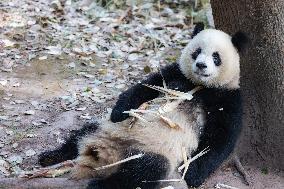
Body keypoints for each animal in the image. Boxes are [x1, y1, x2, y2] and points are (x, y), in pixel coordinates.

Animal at [38, 23, 247, 189]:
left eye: (216, 57)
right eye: (196, 52)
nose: (201, 65)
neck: (200, 86)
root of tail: (103, 155)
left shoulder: (228, 98)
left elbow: (220, 140)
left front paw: (192, 174)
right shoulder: (175, 74)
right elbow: (144, 87)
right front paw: (119, 111)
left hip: (147, 153)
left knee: (143, 172)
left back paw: (99, 184)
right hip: (104, 128)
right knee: (80, 134)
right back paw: (50, 156)